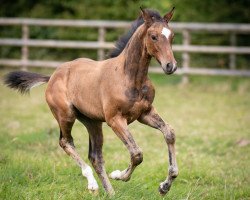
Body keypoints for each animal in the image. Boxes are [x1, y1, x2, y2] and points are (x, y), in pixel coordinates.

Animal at [4, 7, 179, 195]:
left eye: (172, 36)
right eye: (153, 36)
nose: (170, 66)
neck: (130, 77)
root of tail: (52, 76)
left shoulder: (145, 113)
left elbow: (169, 133)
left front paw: (164, 186)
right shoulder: (115, 120)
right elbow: (136, 153)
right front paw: (118, 175)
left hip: (93, 122)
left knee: (95, 157)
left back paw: (110, 193)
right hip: (66, 116)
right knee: (66, 142)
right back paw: (93, 184)